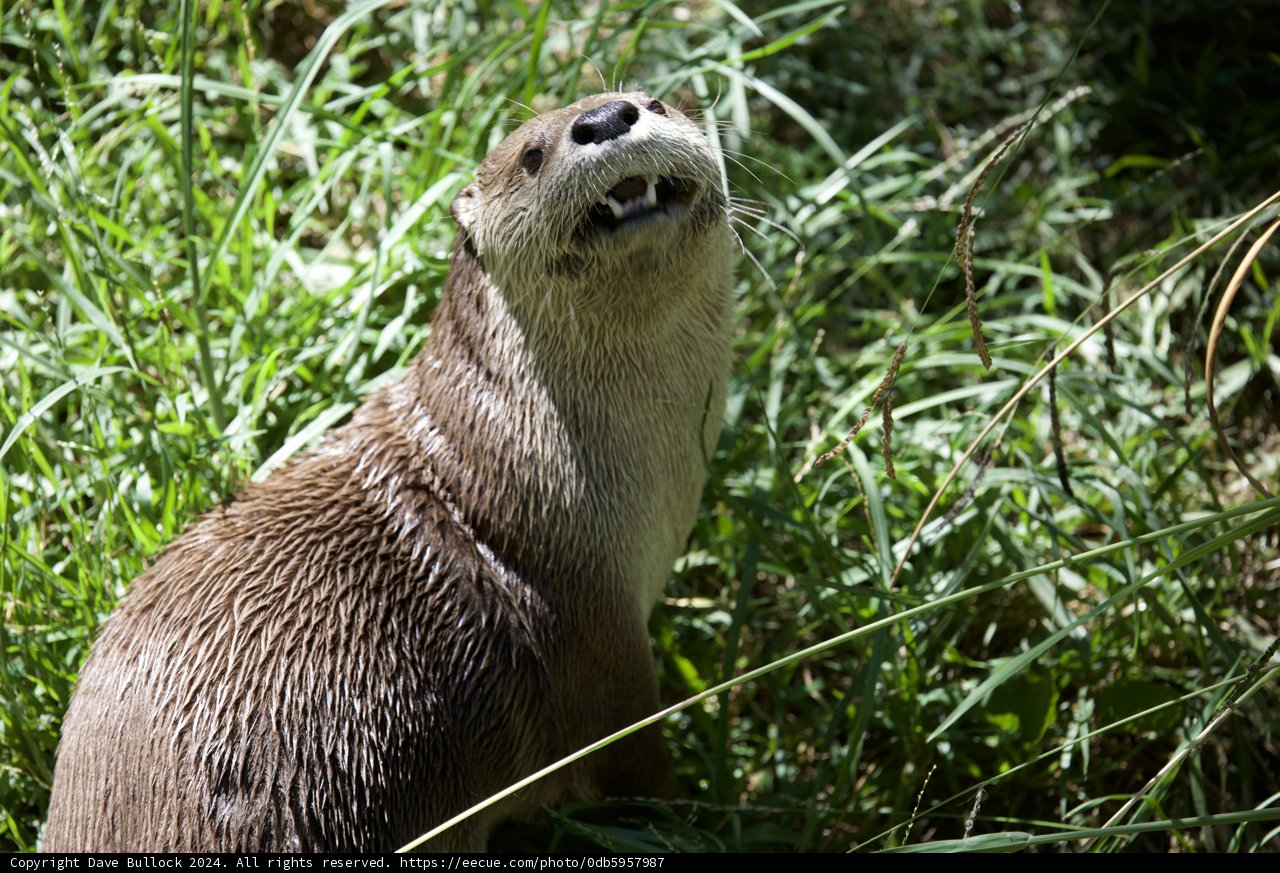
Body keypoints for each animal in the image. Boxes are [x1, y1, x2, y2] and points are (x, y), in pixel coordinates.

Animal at [42, 92, 733, 852]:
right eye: (532, 154)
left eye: (654, 102)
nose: (607, 118)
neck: (528, 468)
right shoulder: (594, 640)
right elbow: (634, 760)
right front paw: (704, 819)